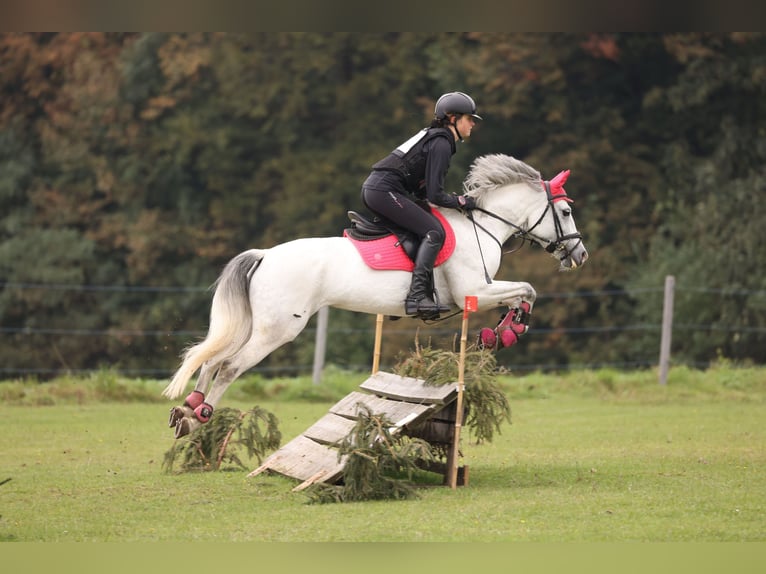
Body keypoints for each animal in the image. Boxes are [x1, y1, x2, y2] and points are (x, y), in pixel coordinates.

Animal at [165, 155, 592, 438]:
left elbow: (522, 294)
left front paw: (498, 334)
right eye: (566, 212)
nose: (580, 255)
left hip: (255, 325)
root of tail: (266, 254)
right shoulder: (474, 291)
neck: (482, 225)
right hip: (277, 330)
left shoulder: (480, 293)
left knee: (212, 359)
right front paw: (508, 332)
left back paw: (187, 411)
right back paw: (201, 414)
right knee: (229, 367)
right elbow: (527, 290)